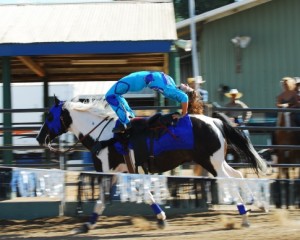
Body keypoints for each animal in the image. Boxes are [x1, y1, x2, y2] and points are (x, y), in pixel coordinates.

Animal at [36, 95, 268, 232]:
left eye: (50, 117)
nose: (39, 138)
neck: (105, 135)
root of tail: (215, 121)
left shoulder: (108, 171)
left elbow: (103, 199)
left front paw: (85, 225)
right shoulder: (121, 172)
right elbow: (142, 194)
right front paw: (161, 218)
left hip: (211, 163)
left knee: (229, 181)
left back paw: (244, 216)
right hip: (218, 161)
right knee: (238, 176)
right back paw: (258, 204)